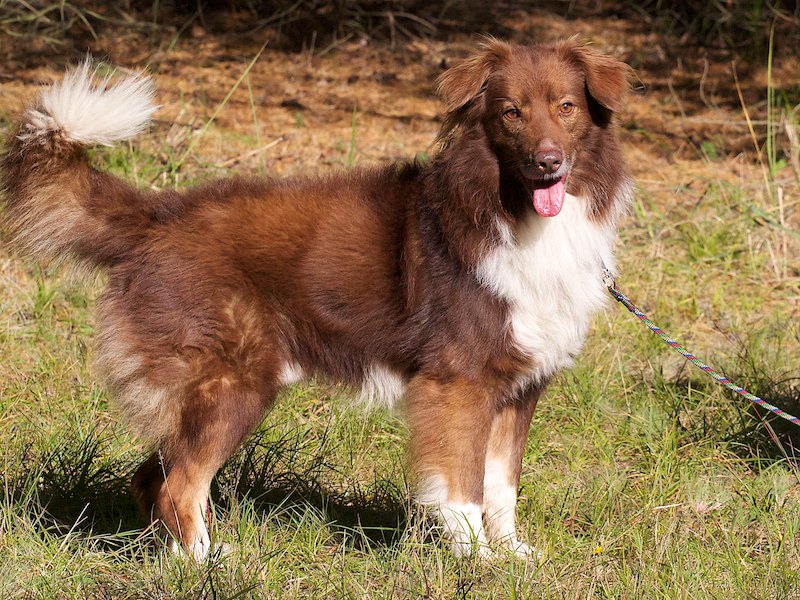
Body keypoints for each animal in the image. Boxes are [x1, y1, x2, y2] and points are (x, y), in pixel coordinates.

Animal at [1, 39, 632, 560]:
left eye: (566, 107)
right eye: (510, 112)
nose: (548, 162)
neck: (510, 211)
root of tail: (156, 217)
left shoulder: (519, 387)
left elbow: (501, 485)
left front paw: (511, 557)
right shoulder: (460, 384)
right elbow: (463, 487)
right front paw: (475, 559)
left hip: (205, 392)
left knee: (154, 477)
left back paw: (186, 556)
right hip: (233, 383)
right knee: (179, 483)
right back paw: (206, 565)